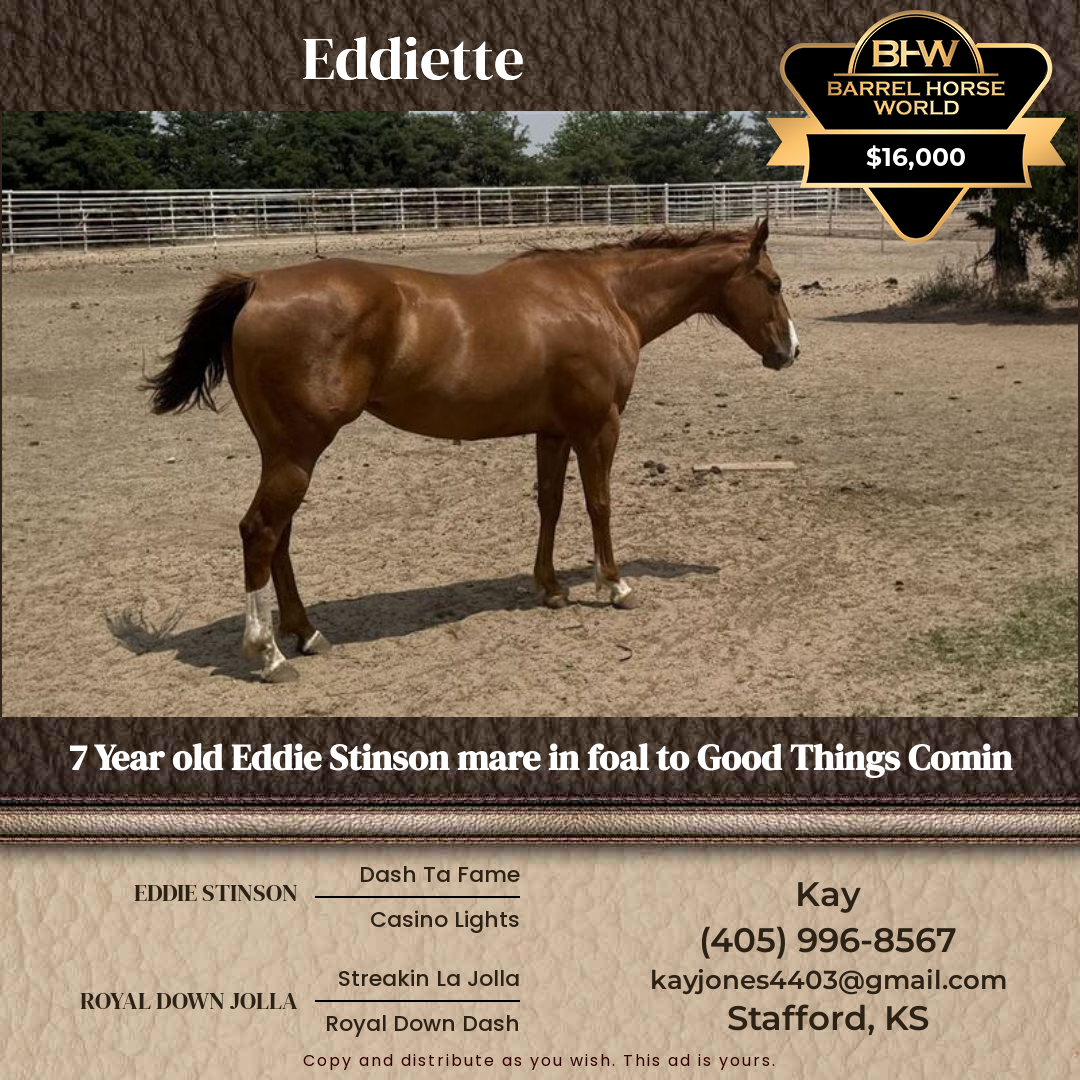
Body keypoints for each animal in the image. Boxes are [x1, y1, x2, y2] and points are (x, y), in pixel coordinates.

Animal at [145, 218, 799, 682]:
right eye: (773, 283)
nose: (790, 351)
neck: (603, 295)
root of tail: (259, 283)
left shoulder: (554, 430)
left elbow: (550, 503)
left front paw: (550, 588)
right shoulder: (598, 425)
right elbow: (599, 503)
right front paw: (613, 586)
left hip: (285, 454)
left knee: (279, 535)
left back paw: (305, 634)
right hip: (297, 454)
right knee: (260, 531)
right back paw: (268, 654)